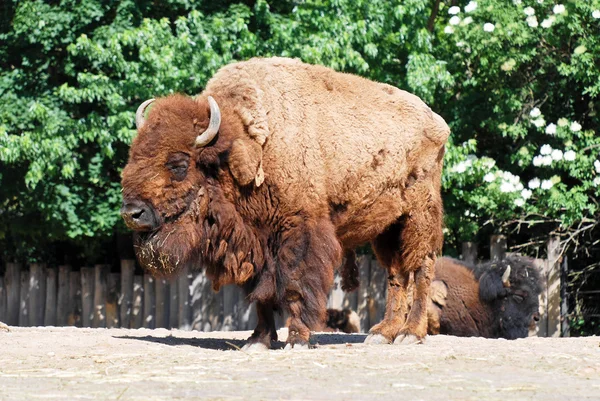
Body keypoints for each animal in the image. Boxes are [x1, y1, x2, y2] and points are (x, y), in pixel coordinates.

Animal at [120, 54, 450, 348]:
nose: (132, 213)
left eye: (179, 164)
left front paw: (297, 339)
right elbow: (259, 294)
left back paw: (409, 334)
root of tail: (437, 121)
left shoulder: (298, 232)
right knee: (397, 275)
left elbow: (293, 285)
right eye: (133, 156)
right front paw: (258, 340)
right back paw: (382, 334)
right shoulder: (255, 243)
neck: (248, 143)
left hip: (417, 217)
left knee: (421, 270)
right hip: (387, 227)